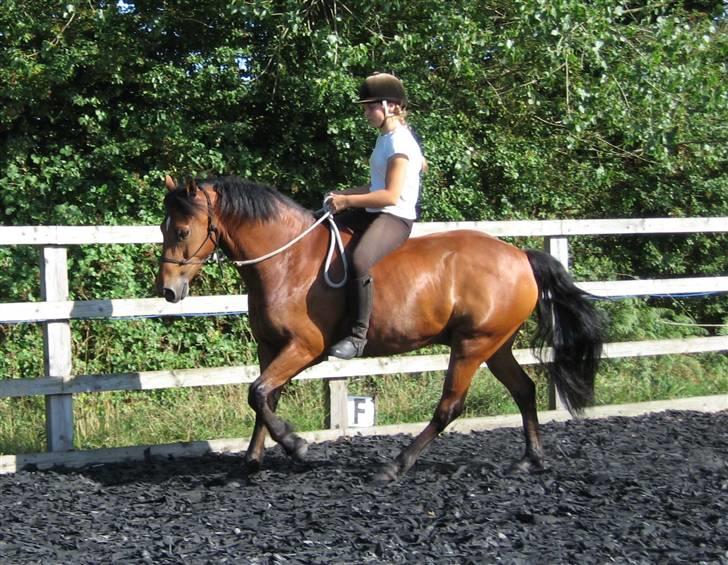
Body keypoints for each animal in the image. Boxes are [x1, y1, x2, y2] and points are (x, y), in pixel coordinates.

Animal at [156, 175, 604, 480]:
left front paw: (298, 447)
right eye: (163, 228)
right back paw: (530, 459)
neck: (287, 261)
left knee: (450, 406)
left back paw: (396, 465)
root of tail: (519, 255)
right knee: (524, 390)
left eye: (182, 230)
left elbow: (258, 393)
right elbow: (265, 399)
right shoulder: (270, 347)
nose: (168, 291)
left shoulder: (304, 348)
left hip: (472, 345)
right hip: (496, 344)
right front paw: (252, 460)